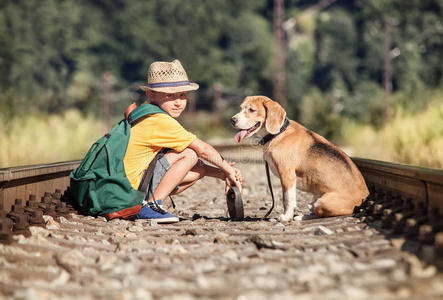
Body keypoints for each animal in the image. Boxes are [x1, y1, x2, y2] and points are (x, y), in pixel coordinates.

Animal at [231, 96, 370, 223]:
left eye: (251, 110)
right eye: (241, 108)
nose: (232, 120)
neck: (278, 133)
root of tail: (365, 198)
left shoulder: (287, 175)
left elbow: (287, 200)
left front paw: (286, 217)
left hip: (322, 202)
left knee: (319, 213)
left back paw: (301, 217)